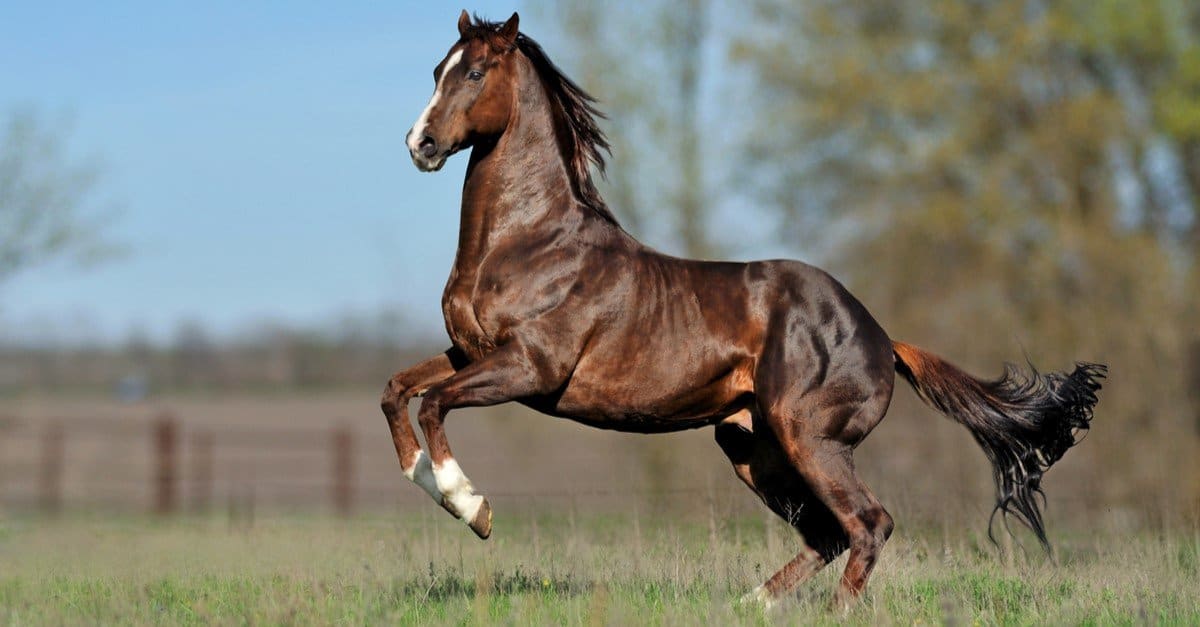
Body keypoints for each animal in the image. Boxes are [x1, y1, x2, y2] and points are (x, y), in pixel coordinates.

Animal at [380, 11, 1106, 609]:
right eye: (439, 70)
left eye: (475, 71)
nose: (419, 144)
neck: (530, 241)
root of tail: (883, 337)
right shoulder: (470, 352)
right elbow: (397, 390)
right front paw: (426, 479)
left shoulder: (531, 368)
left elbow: (435, 402)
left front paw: (472, 507)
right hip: (752, 446)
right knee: (827, 535)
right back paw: (748, 603)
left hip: (808, 437)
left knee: (868, 523)